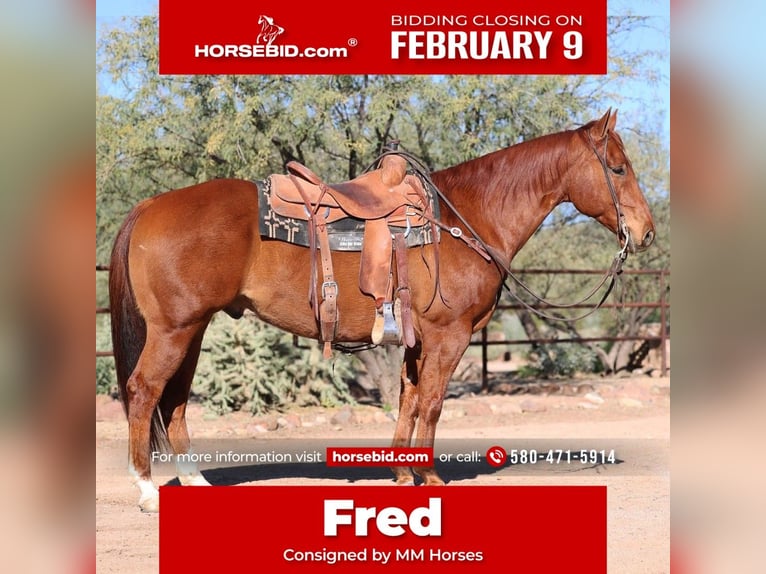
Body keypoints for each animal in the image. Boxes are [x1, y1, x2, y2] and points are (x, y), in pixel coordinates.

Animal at [109, 110, 655, 512]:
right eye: (619, 168)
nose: (646, 232)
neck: (465, 219)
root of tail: (150, 206)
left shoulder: (416, 340)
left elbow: (408, 401)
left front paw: (402, 472)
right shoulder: (449, 337)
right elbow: (432, 404)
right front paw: (430, 476)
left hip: (193, 330)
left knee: (174, 401)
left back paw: (195, 482)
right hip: (174, 330)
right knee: (143, 392)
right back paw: (147, 490)